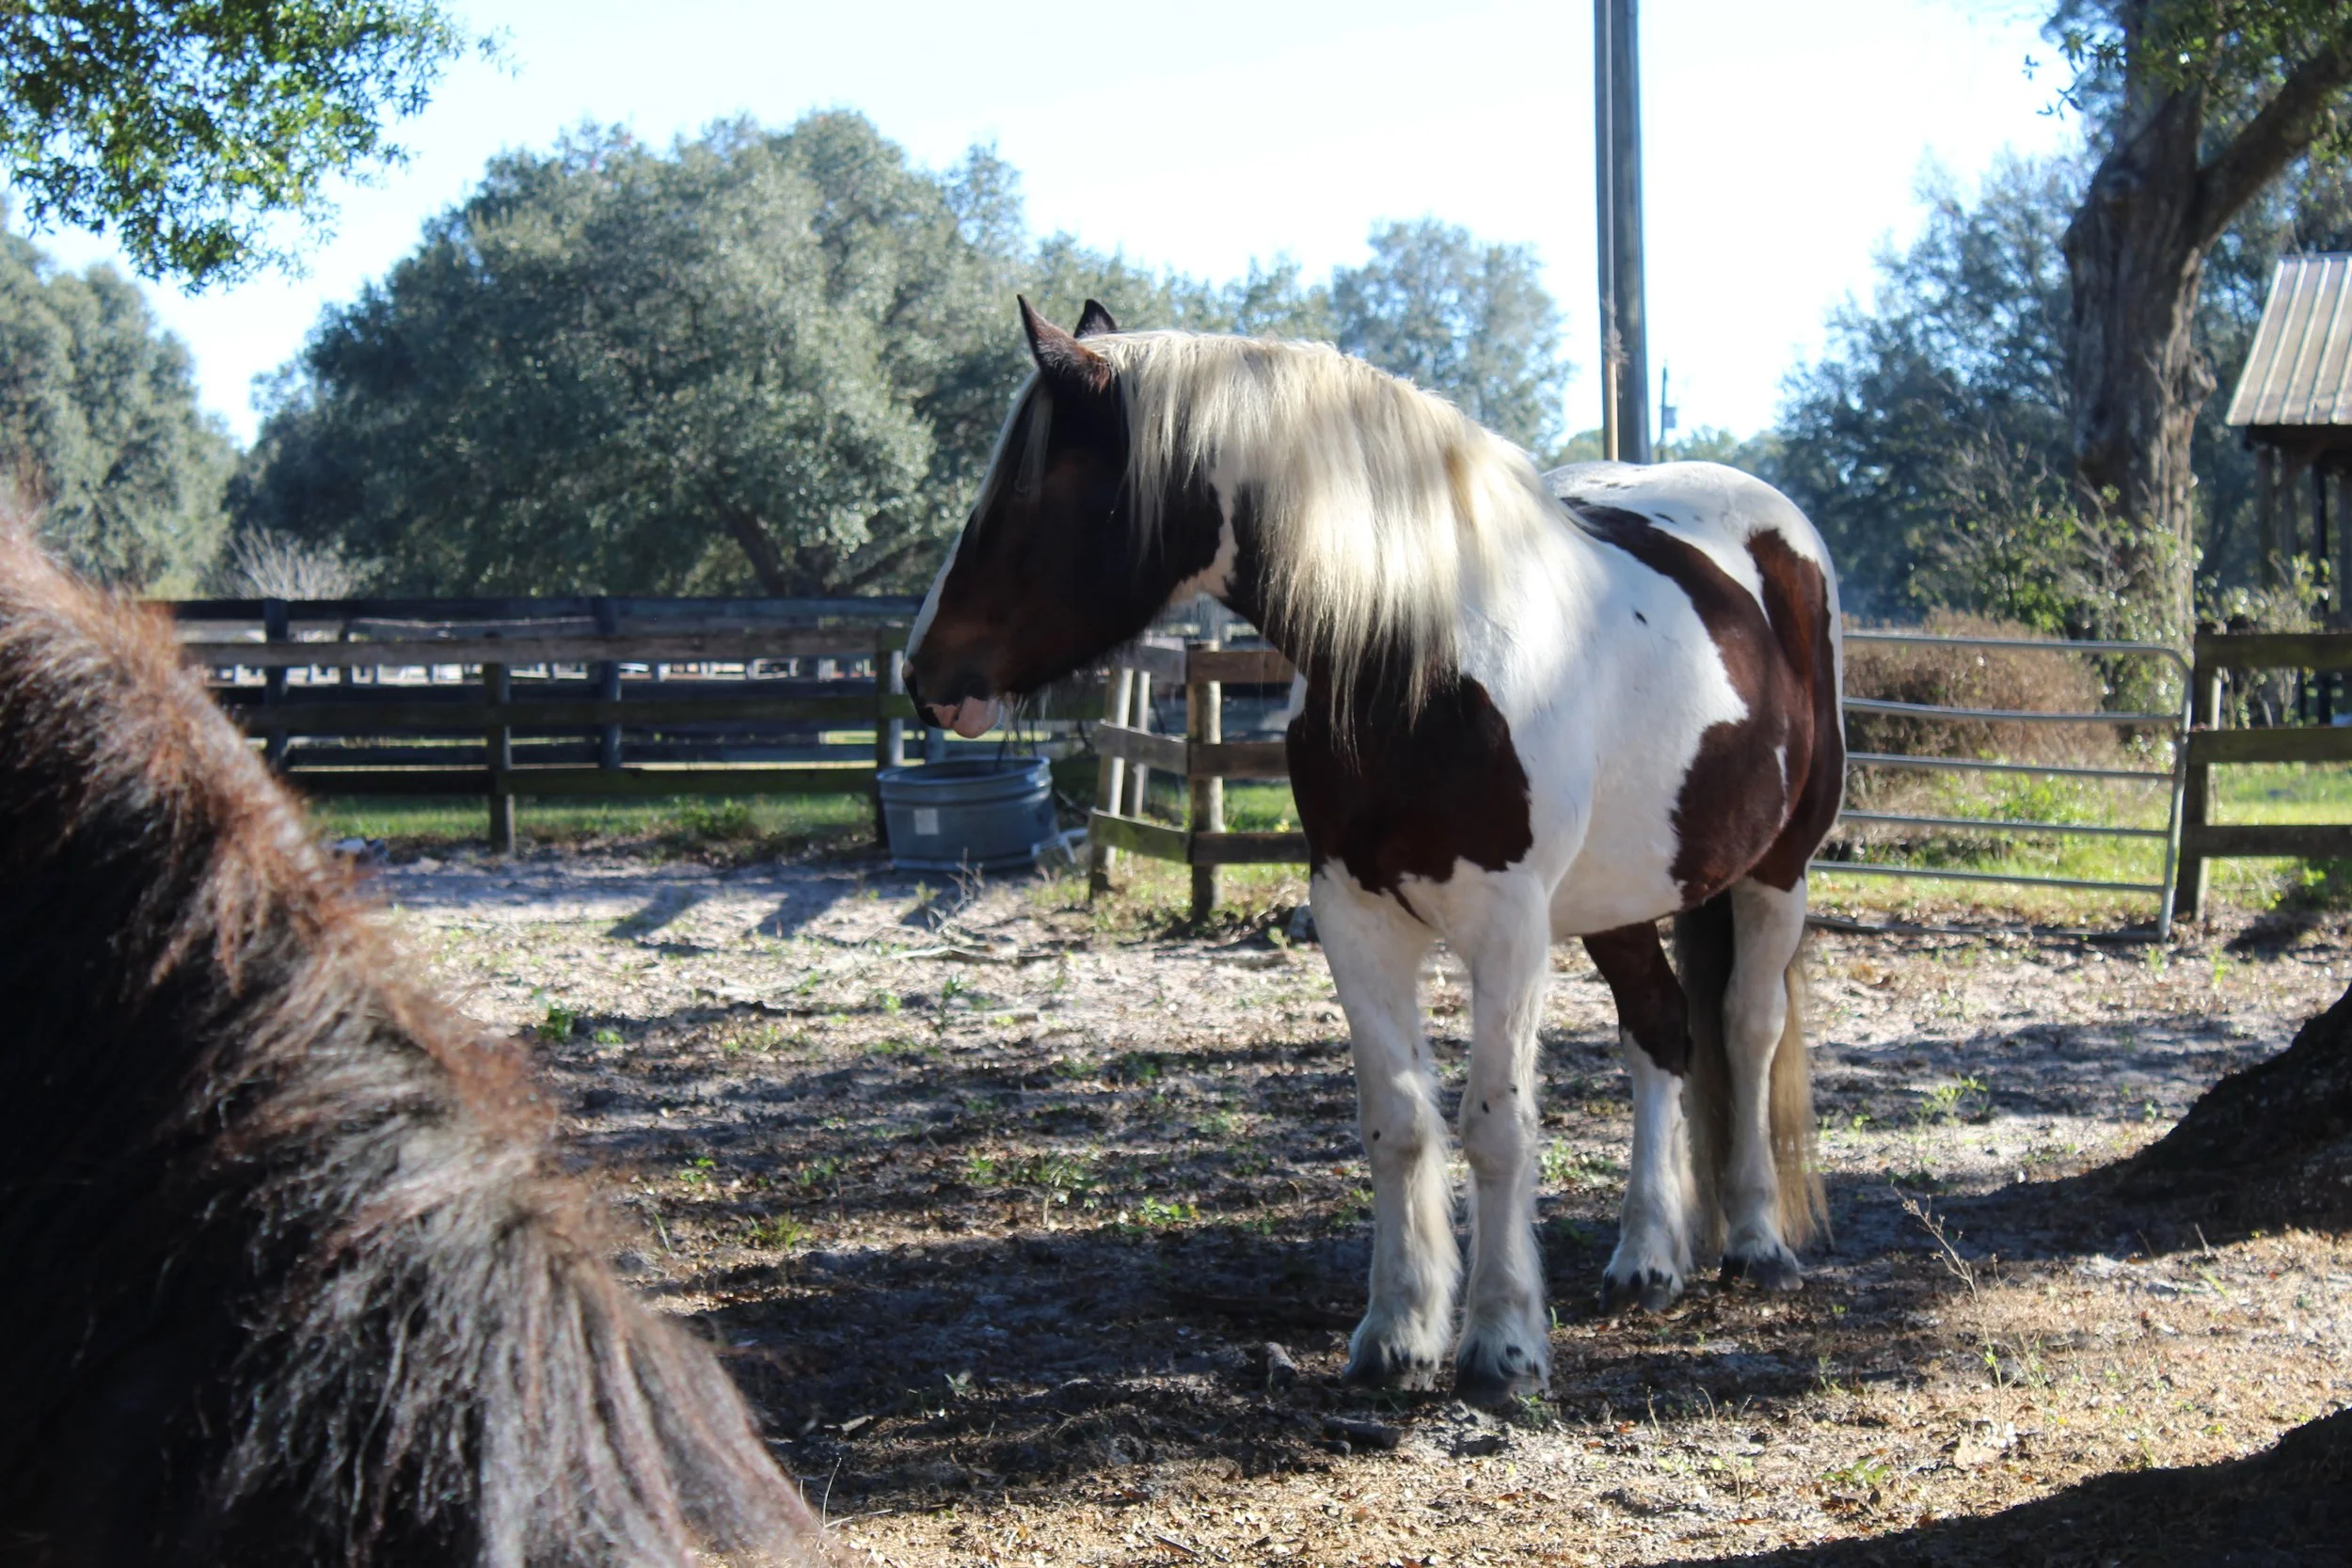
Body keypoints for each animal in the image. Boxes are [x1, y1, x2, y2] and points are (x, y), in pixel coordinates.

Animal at [905, 301, 1844, 1406]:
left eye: (1027, 489)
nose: (924, 674)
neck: (1424, 654)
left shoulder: (1508, 928)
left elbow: (1496, 1124)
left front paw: (1502, 1344)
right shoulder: (1352, 915)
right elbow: (1397, 1123)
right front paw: (1397, 1331)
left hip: (1777, 869)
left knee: (1746, 1027)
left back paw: (1755, 1241)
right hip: (1620, 896)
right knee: (1661, 1029)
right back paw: (1646, 1258)